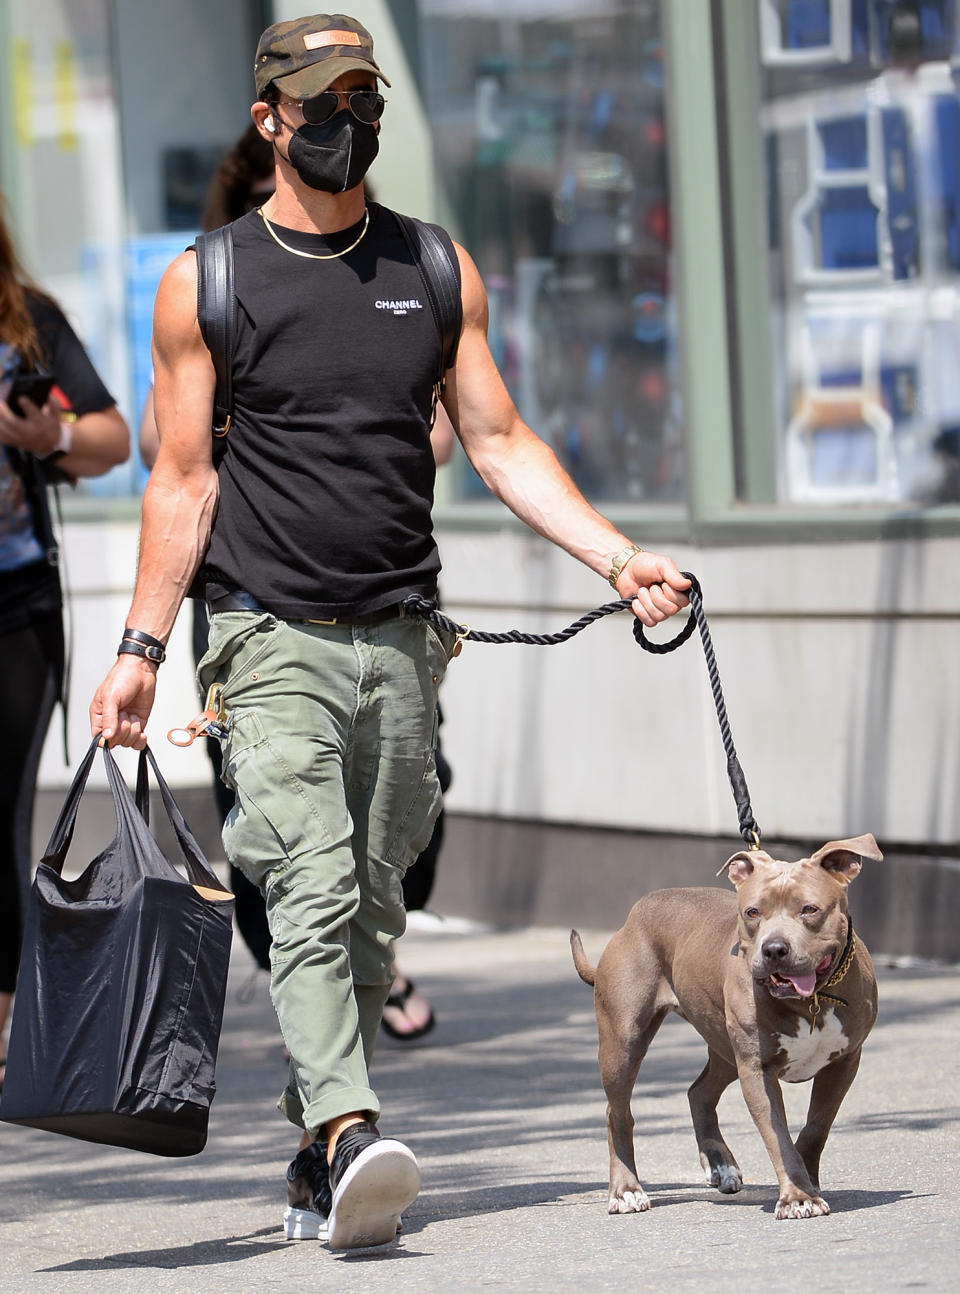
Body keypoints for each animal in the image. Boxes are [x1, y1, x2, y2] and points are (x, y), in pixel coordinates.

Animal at [574, 833, 884, 1216]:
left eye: (810, 909)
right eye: (752, 912)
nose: (774, 949)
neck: (809, 1000)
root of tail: (635, 914)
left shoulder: (844, 1062)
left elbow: (816, 1126)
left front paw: (808, 1182)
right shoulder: (757, 1070)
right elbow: (778, 1137)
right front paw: (798, 1195)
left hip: (722, 1044)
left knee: (699, 1092)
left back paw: (720, 1165)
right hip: (624, 1043)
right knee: (618, 1114)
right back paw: (626, 1190)